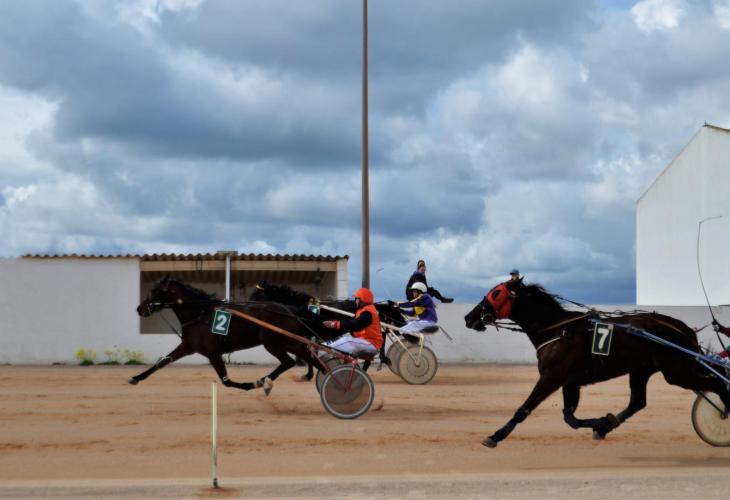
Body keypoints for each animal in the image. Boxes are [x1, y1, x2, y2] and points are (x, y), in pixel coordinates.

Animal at [129, 276, 333, 395]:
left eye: (155, 290)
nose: (140, 309)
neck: (199, 314)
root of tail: (291, 310)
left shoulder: (213, 353)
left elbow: (226, 381)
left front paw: (249, 385)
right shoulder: (188, 346)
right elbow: (162, 362)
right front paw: (136, 378)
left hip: (274, 343)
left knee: (290, 361)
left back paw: (265, 382)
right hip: (289, 342)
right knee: (305, 358)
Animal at [464, 278, 730, 448]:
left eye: (495, 293)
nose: (468, 317)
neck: (558, 330)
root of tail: (683, 329)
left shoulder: (552, 377)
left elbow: (524, 409)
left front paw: (495, 436)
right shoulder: (569, 382)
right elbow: (569, 418)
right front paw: (603, 422)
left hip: (677, 371)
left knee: (718, 383)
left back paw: (725, 410)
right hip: (645, 369)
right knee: (638, 402)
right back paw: (606, 427)